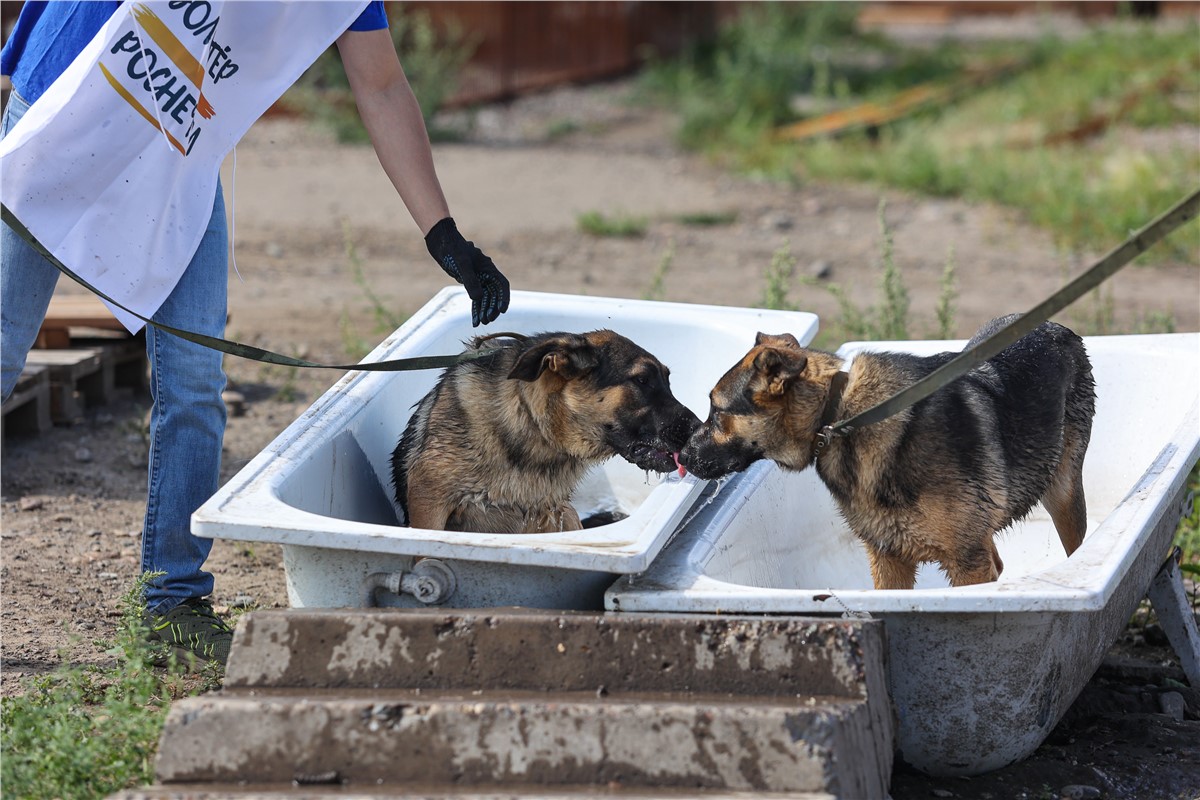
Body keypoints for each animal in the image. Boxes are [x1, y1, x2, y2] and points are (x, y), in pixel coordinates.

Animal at [388, 328, 700, 534]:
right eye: (643, 380)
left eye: (667, 380)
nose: (700, 429)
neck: (533, 430)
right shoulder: (428, 502)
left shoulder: (549, 513)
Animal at [681, 316, 1094, 592]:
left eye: (716, 411)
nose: (681, 455)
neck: (840, 415)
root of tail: (1056, 326)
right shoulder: (889, 559)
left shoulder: (966, 562)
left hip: (1061, 494)